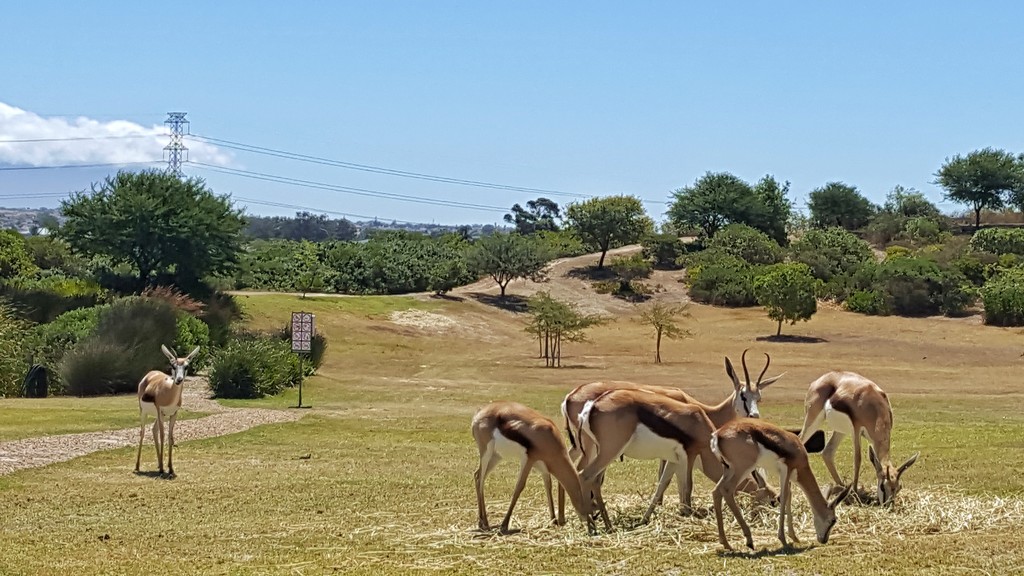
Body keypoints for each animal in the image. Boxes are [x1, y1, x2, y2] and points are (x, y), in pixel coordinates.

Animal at [134, 342, 199, 473]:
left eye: (186, 366)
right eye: (173, 366)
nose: (179, 380)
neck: (169, 393)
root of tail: (150, 374)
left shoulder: (173, 414)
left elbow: (170, 436)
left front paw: (170, 467)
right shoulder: (160, 411)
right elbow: (163, 435)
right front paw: (164, 467)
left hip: (159, 416)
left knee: (153, 430)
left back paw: (159, 464)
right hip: (144, 412)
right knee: (143, 432)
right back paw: (138, 466)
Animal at [468, 401, 593, 532]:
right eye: (591, 497)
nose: (591, 520)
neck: (549, 436)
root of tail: (480, 412)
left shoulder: (543, 468)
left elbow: (548, 486)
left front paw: (553, 520)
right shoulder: (529, 460)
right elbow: (519, 487)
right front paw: (504, 524)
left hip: (496, 457)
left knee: (477, 475)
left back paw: (482, 522)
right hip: (486, 453)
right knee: (480, 479)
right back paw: (484, 523)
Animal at [708, 416, 851, 545]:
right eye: (833, 520)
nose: (824, 540)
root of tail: (718, 434)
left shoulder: (786, 475)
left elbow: (789, 496)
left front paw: (794, 537)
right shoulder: (786, 470)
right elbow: (783, 496)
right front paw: (783, 538)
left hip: (728, 469)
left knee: (716, 491)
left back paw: (726, 543)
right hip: (742, 469)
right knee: (727, 490)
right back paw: (749, 540)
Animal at [790, 373, 921, 502]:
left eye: (898, 487)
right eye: (883, 486)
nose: (887, 504)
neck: (874, 406)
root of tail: (818, 380)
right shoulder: (856, 430)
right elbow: (857, 459)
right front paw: (856, 491)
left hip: (840, 430)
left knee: (827, 452)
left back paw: (842, 487)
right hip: (813, 420)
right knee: (800, 440)